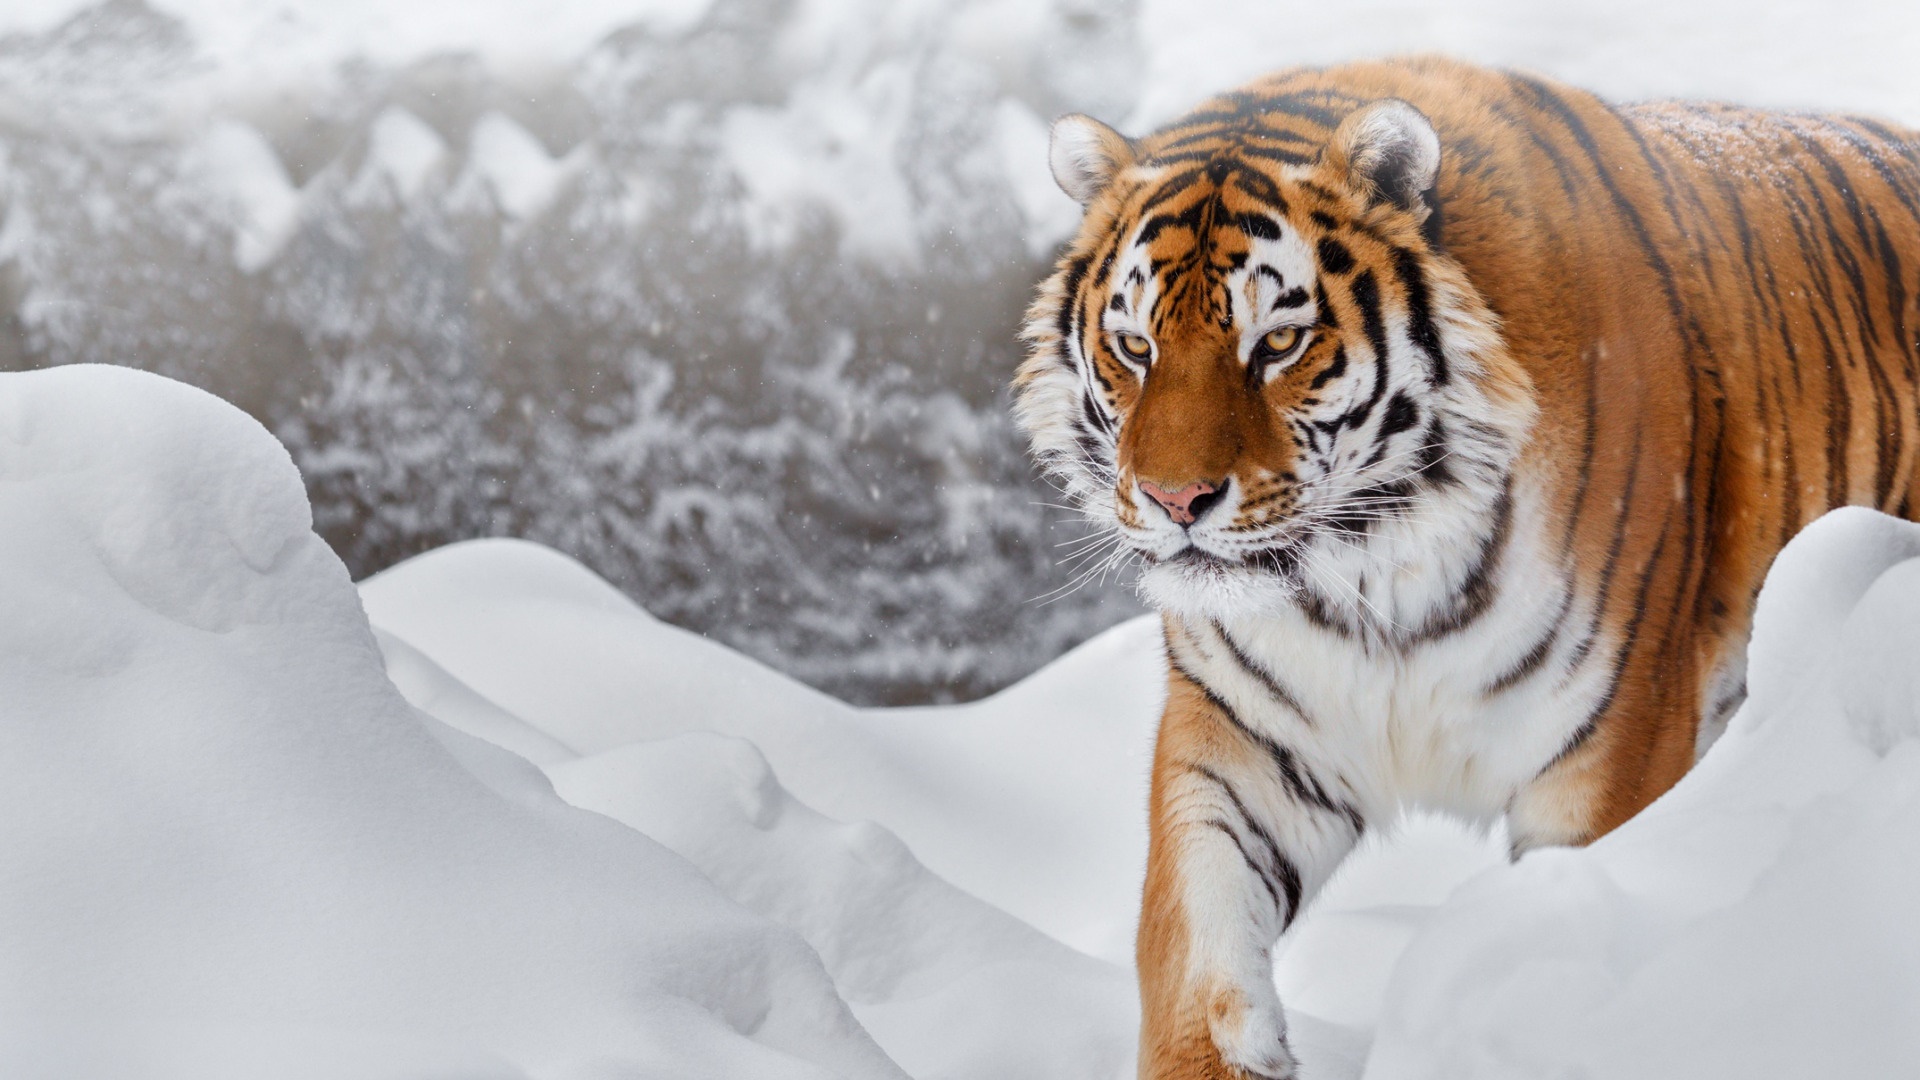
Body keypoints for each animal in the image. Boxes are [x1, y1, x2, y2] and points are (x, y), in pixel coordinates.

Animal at [1014, 55, 1920, 1079]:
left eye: (1278, 343)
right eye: (1135, 347)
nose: (1176, 502)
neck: (1367, 571)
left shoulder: (1612, 745)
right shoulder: (1241, 739)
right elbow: (1194, 945)